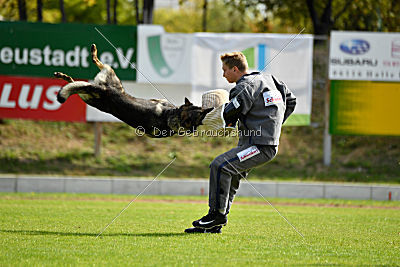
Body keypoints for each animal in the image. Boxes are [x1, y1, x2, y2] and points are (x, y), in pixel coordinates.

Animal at [55, 44, 216, 138]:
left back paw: (65, 76)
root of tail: (106, 90)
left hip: (90, 92)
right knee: (96, 63)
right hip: (107, 79)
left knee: (78, 82)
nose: (194, 131)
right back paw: (91, 53)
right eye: (200, 118)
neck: (172, 114)